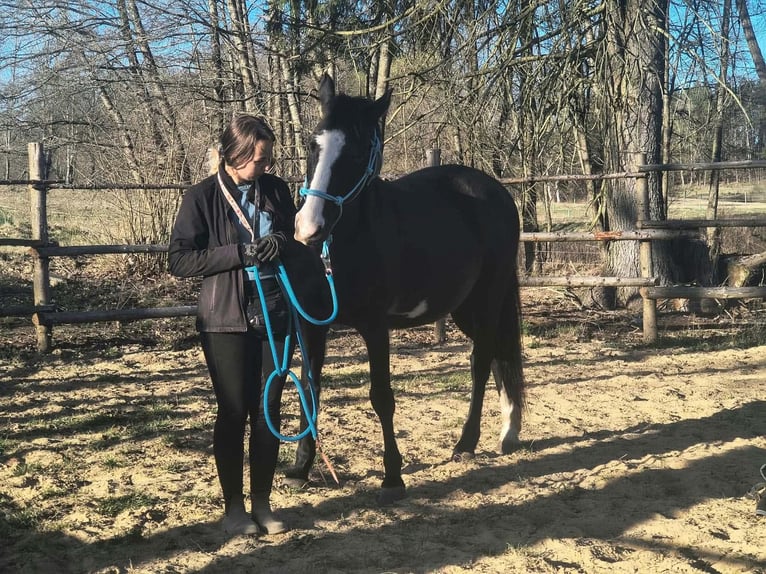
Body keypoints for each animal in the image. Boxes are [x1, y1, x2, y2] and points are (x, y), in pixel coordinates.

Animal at [288, 73, 525, 504]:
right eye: (314, 144)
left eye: (357, 151)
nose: (308, 230)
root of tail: (495, 191)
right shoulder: (312, 325)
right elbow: (309, 389)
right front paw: (300, 468)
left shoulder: (375, 327)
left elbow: (381, 396)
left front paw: (393, 476)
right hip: (465, 308)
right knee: (499, 355)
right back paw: (508, 431)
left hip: (488, 300)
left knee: (481, 362)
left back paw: (467, 443)